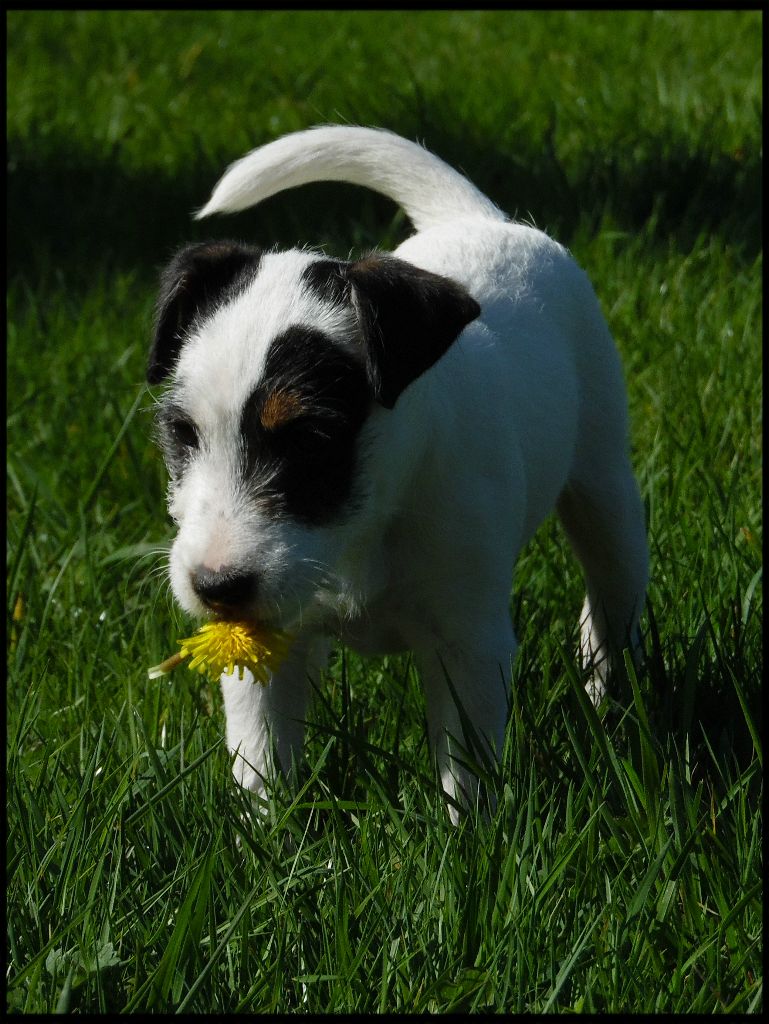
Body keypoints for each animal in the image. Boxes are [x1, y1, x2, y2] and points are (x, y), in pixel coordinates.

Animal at [145, 125, 651, 815]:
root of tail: (479, 219)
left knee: (610, 592)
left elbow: (467, 764)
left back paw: (609, 694)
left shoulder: (467, 642)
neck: (366, 525)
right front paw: (265, 828)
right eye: (181, 433)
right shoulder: (268, 638)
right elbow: (261, 750)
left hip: (602, 482)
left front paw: (468, 833)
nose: (214, 587)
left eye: (311, 439)